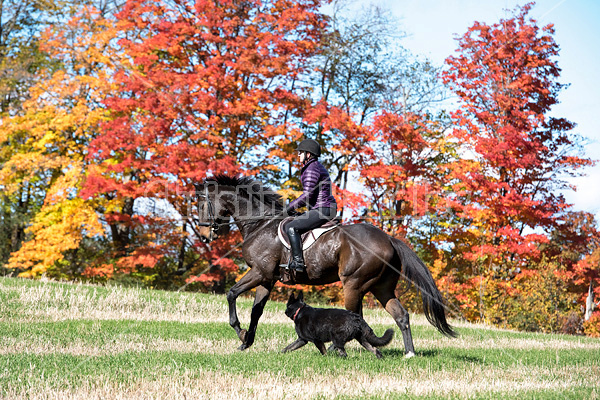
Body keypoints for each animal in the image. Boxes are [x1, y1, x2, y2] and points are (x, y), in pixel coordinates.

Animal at [193, 175, 454, 356]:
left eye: (200, 204)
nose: (204, 235)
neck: (259, 224)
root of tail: (389, 239)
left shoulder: (259, 272)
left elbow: (231, 294)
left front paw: (239, 332)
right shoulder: (267, 278)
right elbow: (256, 310)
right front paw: (246, 342)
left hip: (354, 285)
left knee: (359, 317)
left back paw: (354, 349)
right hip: (381, 287)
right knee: (401, 316)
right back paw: (409, 353)